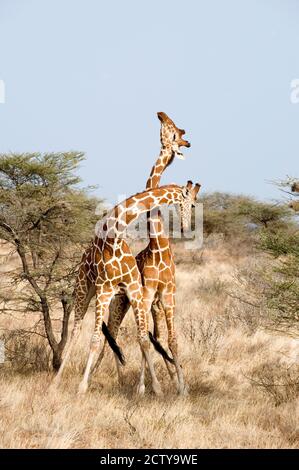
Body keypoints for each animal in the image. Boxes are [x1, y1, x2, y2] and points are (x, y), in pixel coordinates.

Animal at [53, 182, 202, 394]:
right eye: (193, 204)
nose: (185, 228)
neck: (114, 237)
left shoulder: (134, 289)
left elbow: (143, 338)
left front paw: (156, 388)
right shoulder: (104, 289)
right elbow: (94, 339)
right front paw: (82, 387)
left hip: (118, 299)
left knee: (113, 333)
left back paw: (121, 382)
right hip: (85, 289)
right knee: (77, 330)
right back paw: (56, 382)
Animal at [95, 112, 196, 394]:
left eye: (175, 132)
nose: (160, 114)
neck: (157, 247)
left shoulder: (167, 296)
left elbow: (170, 340)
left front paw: (180, 387)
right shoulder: (148, 294)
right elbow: (147, 341)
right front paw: (145, 387)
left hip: (149, 304)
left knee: (151, 336)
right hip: (122, 302)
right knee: (113, 334)